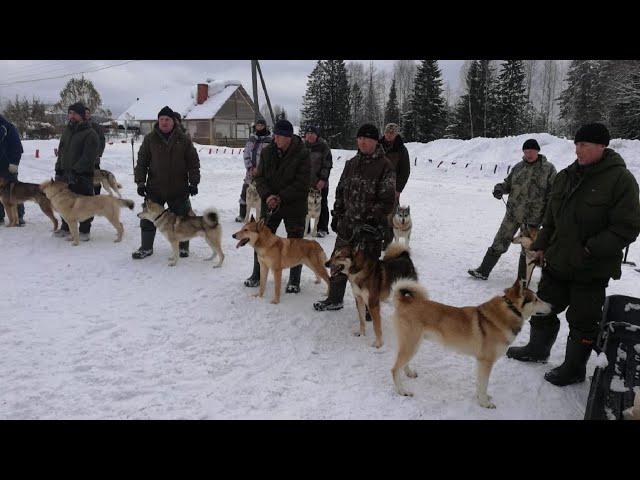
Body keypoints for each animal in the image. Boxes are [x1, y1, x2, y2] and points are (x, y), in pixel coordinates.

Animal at [388, 278, 552, 408]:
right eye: (536, 299)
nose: (552, 306)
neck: (510, 310)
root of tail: (405, 301)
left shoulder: (481, 362)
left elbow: (480, 384)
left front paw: (481, 398)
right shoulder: (486, 361)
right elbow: (484, 384)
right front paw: (485, 403)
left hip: (414, 344)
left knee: (403, 363)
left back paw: (409, 372)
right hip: (411, 343)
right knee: (395, 369)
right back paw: (402, 391)